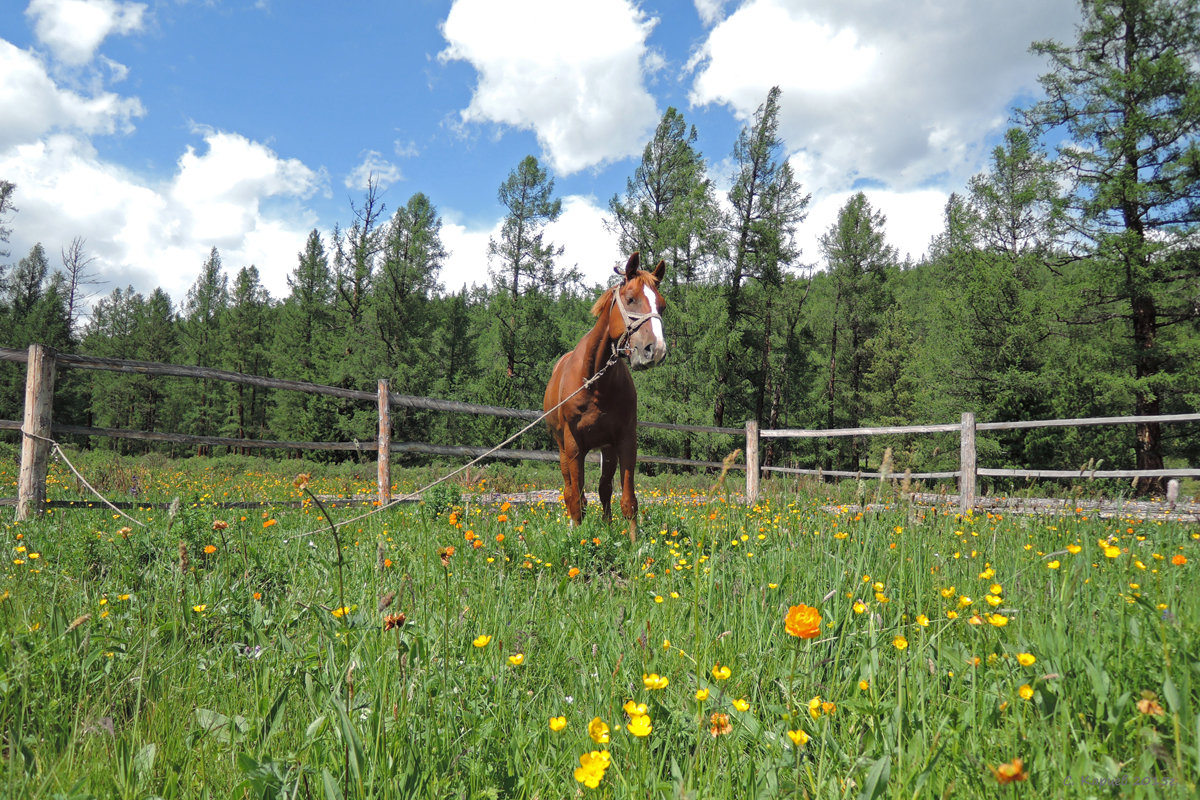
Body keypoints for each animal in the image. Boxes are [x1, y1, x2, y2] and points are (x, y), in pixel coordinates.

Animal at [544, 253, 667, 542]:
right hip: (563, 448)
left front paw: (633, 545)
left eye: (663, 306)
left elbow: (627, 500)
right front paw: (577, 542)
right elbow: (576, 499)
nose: (655, 350)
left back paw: (607, 528)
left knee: (603, 489)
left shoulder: (625, 440)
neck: (595, 382)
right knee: (570, 492)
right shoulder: (573, 445)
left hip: (606, 449)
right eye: (631, 298)